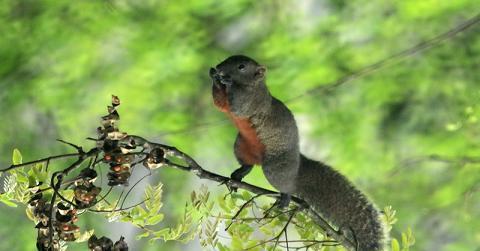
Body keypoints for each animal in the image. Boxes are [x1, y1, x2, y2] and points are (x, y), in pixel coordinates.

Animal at [209, 55, 386, 251]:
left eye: (241, 66)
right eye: (228, 59)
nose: (219, 67)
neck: (253, 86)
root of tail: (298, 163)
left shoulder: (252, 101)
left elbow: (237, 106)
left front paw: (225, 81)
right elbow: (219, 103)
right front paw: (214, 76)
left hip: (275, 167)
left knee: (286, 184)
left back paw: (285, 198)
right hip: (241, 146)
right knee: (248, 164)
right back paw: (238, 175)